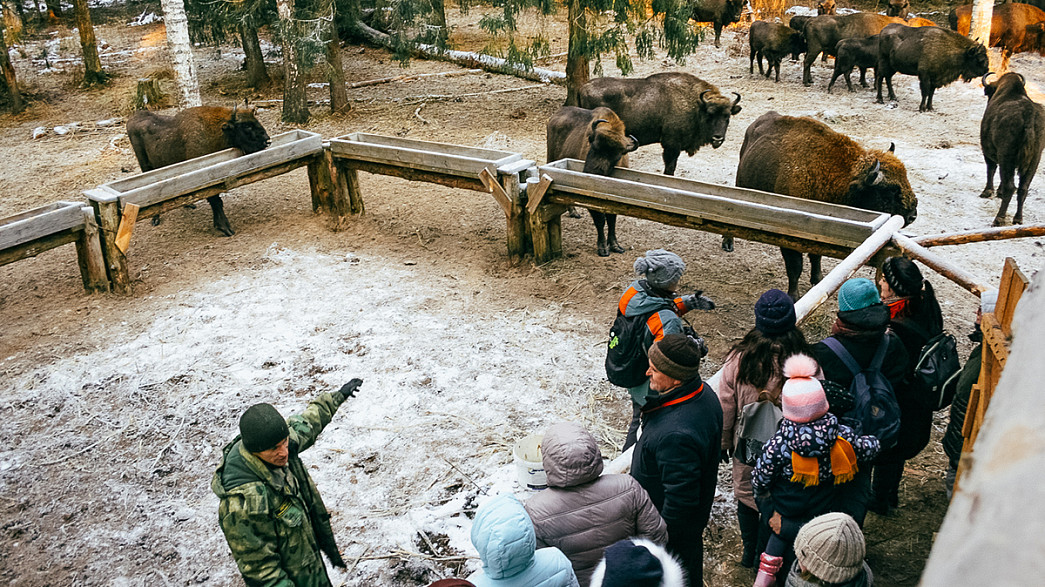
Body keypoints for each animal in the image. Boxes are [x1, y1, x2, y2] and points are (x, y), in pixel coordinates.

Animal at [126, 104, 271, 235]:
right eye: (247, 126)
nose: (267, 139)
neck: (218, 130)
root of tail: (133, 117)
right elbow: (216, 201)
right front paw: (225, 228)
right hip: (145, 166)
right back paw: (155, 219)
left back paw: (188, 205)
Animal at [547, 105, 635, 255]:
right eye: (593, 145)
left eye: (617, 156)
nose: (592, 172)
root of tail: (555, 116)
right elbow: (600, 220)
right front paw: (603, 248)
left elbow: (612, 220)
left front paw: (615, 246)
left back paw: (574, 212)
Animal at [581, 72, 744, 174]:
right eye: (709, 114)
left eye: (727, 116)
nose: (718, 138)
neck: (696, 104)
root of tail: (583, 87)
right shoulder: (671, 146)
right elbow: (670, 168)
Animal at [735, 111, 915, 298]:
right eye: (890, 190)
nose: (912, 215)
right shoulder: (786, 236)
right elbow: (795, 267)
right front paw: (793, 295)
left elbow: (816, 257)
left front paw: (817, 279)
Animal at [978, 72, 1045, 226]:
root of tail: (1029, 116)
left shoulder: (988, 152)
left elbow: (991, 169)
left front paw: (987, 192)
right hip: (1035, 160)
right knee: (1023, 188)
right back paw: (1018, 219)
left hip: (1007, 157)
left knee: (1011, 186)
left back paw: (999, 219)